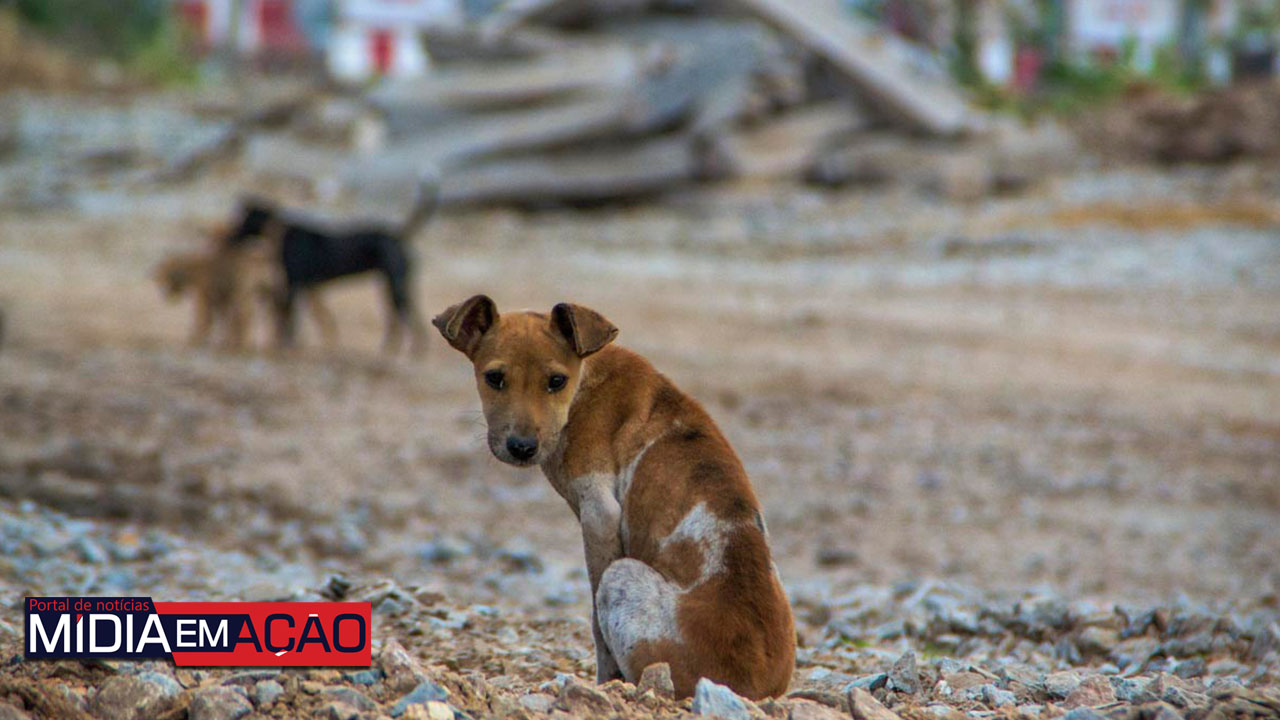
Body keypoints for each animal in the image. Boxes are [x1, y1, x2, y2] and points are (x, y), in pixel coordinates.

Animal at [221, 179, 440, 353]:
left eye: (243, 220)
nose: (228, 238)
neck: (279, 233)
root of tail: (398, 235)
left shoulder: (294, 283)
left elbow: (290, 319)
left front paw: (286, 344)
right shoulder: (308, 287)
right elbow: (316, 318)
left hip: (395, 284)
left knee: (405, 315)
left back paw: (411, 350)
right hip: (392, 284)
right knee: (398, 316)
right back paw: (392, 349)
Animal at [435, 294, 793, 696]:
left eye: (556, 381)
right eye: (494, 378)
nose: (522, 447)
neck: (585, 383)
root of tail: (755, 688)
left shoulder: (599, 514)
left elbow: (595, 624)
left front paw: (606, 683)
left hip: (622, 577)